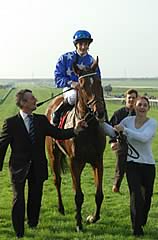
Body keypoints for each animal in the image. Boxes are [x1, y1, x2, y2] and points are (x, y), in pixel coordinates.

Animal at [45, 57, 106, 232]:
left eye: (99, 82)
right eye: (82, 85)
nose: (100, 112)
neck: (88, 129)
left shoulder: (97, 160)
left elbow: (99, 194)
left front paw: (93, 218)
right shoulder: (74, 161)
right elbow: (78, 196)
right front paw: (78, 224)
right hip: (53, 155)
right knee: (57, 180)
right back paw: (61, 208)